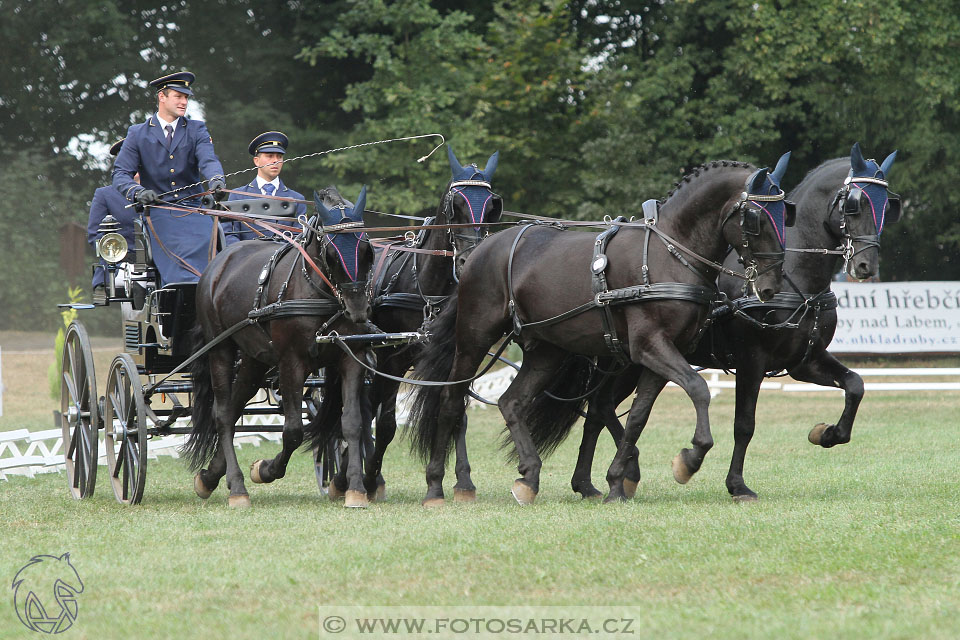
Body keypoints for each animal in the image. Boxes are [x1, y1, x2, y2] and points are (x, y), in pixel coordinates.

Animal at [182, 188, 376, 508]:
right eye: (332, 254)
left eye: (368, 250)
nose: (358, 309)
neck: (318, 292)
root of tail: (219, 263)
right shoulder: (291, 363)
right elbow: (294, 431)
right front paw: (266, 469)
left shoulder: (351, 358)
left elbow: (352, 423)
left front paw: (357, 489)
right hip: (221, 349)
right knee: (221, 414)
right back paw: (237, 487)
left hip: (254, 359)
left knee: (233, 409)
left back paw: (210, 477)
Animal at [310, 148, 502, 502]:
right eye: (456, 205)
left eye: (492, 206)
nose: (469, 259)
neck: (428, 287)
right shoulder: (392, 360)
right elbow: (385, 423)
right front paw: (369, 478)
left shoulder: (454, 356)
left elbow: (458, 414)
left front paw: (464, 483)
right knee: (360, 409)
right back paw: (349, 475)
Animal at [404, 160, 788, 504]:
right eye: (756, 219)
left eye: (787, 213)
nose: (771, 286)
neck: (670, 253)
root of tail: (478, 252)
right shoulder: (650, 346)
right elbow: (698, 389)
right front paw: (689, 460)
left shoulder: (659, 354)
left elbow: (638, 418)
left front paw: (618, 482)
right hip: (474, 338)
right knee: (451, 402)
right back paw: (438, 486)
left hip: (547, 349)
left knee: (511, 401)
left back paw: (529, 477)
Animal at [568, 142, 900, 502]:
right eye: (854, 204)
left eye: (887, 205)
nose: (867, 266)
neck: (796, 278)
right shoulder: (751, 359)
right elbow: (744, 425)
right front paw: (736, 484)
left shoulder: (804, 361)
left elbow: (855, 385)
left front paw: (826, 433)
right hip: (627, 361)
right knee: (601, 408)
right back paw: (621, 473)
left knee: (597, 411)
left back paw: (588, 483)